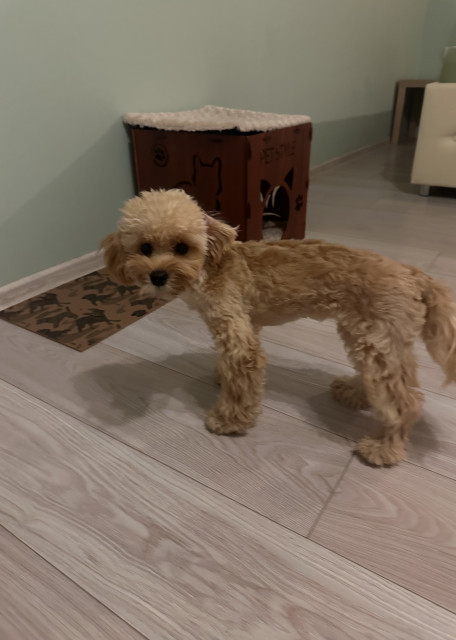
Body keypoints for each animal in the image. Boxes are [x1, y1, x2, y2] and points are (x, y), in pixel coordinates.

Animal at [101, 188, 456, 467]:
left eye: (181, 247)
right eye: (145, 248)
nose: (158, 276)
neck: (210, 268)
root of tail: (414, 275)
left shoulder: (237, 333)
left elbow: (241, 379)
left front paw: (229, 420)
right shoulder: (246, 324)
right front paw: (221, 376)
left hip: (377, 338)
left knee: (407, 402)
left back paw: (383, 449)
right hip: (369, 337)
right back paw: (354, 393)